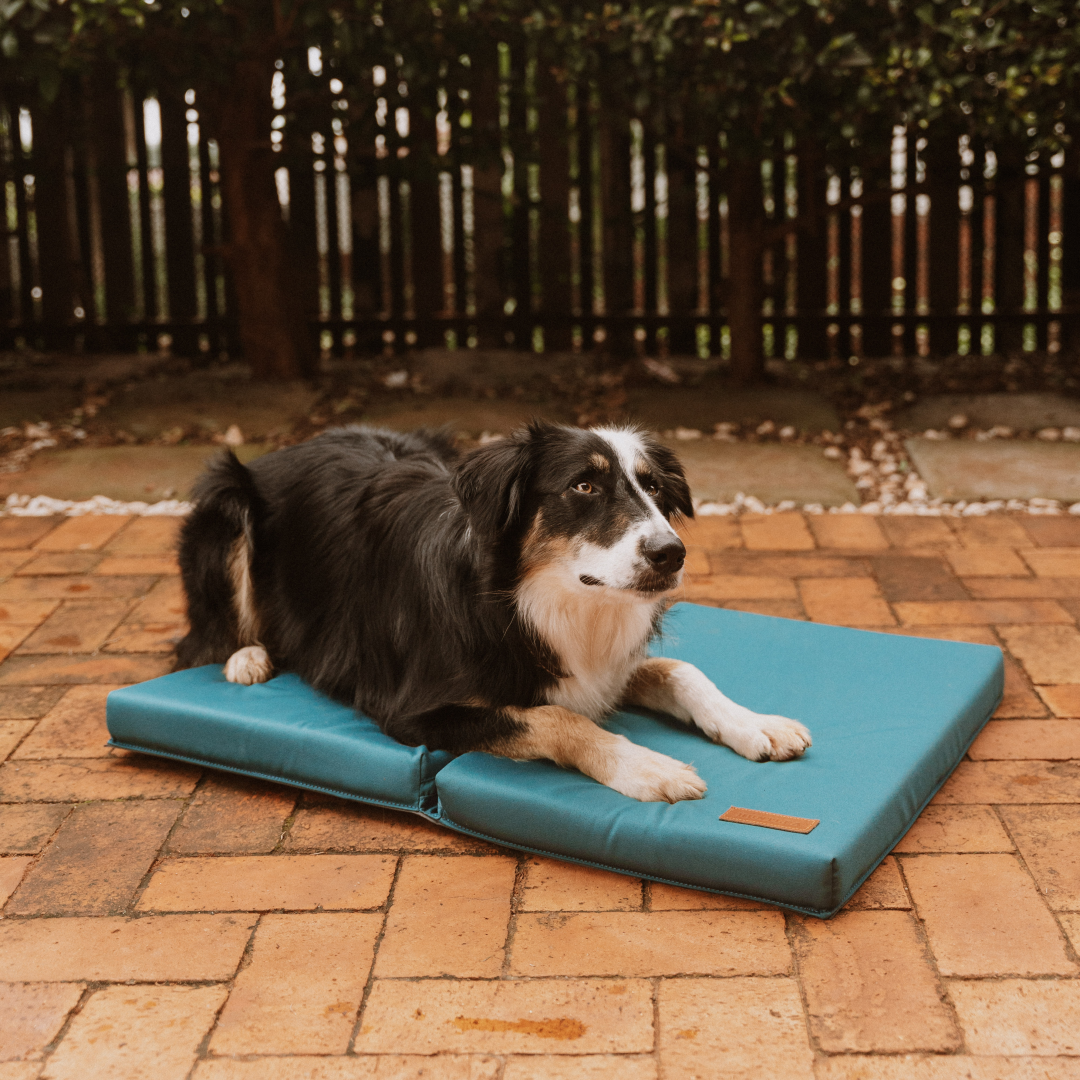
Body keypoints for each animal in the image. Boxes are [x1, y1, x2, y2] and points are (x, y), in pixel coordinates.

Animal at [174, 421, 812, 803]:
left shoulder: (599, 668)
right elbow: (557, 719)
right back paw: (247, 657)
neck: (547, 599)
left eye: (654, 488)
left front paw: (757, 723)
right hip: (225, 507)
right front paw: (648, 768)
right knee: (201, 637)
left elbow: (681, 672)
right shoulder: (413, 711)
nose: (670, 554)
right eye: (583, 486)